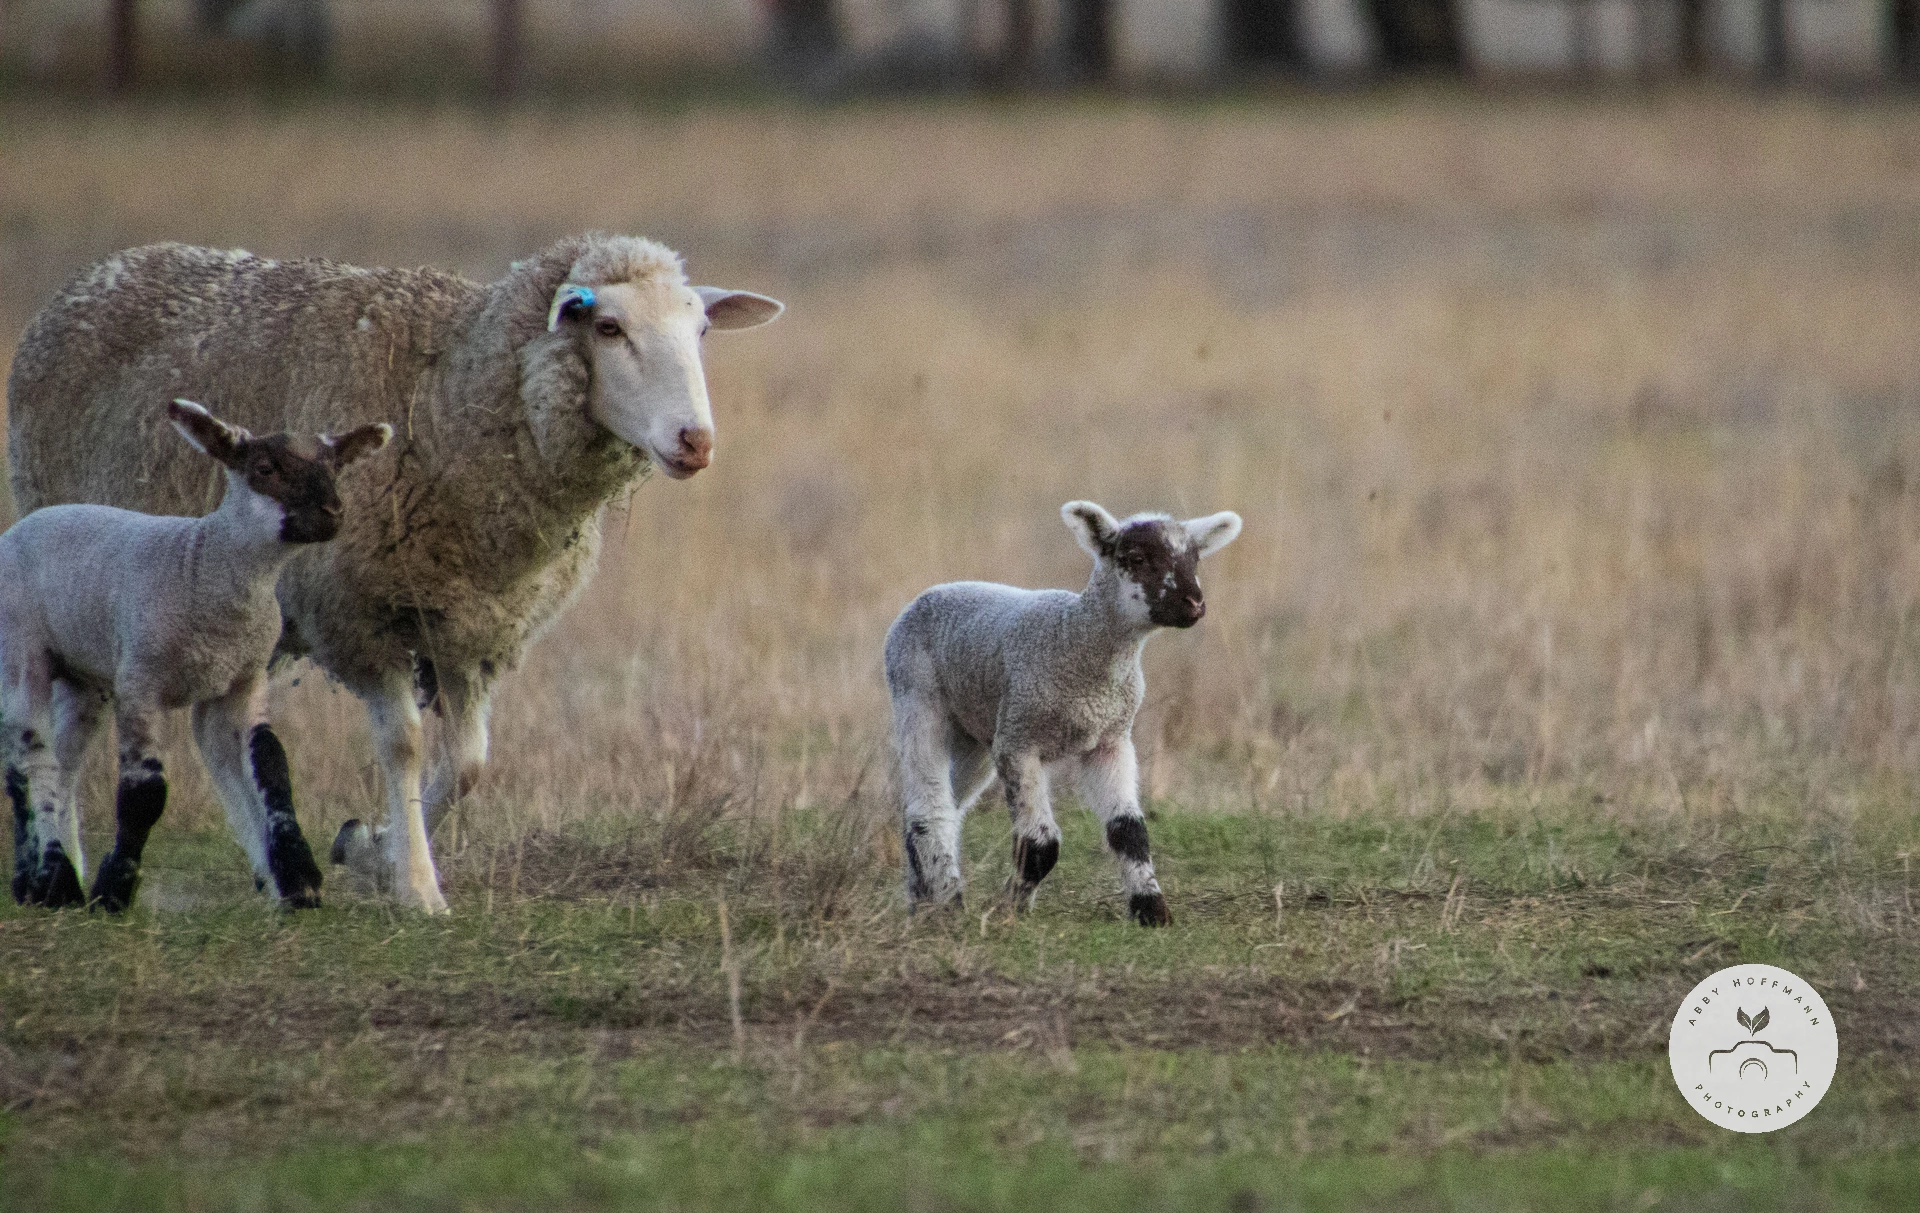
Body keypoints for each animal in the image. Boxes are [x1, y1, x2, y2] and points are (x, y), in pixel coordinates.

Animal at [2, 399, 390, 911]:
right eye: (264, 468)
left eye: (334, 468)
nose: (333, 512)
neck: (203, 563)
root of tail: (29, 521)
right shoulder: (141, 683)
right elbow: (145, 793)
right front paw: (114, 890)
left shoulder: (242, 680)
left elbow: (273, 767)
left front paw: (298, 880)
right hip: (22, 649)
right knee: (32, 761)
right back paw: (56, 878)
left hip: (86, 674)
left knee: (58, 764)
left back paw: (41, 882)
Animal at [883, 501, 1243, 926]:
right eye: (1136, 558)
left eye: (1194, 559)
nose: (1195, 604)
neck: (1076, 637)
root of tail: (931, 592)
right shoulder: (1019, 740)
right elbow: (1041, 845)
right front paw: (1009, 908)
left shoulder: (1110, 739)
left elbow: (1128, 831)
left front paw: (1151, 910)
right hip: (917, 693)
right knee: (929, 808)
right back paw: (948, 905)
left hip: (978, 730)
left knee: (946, 806)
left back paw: (921, 899)